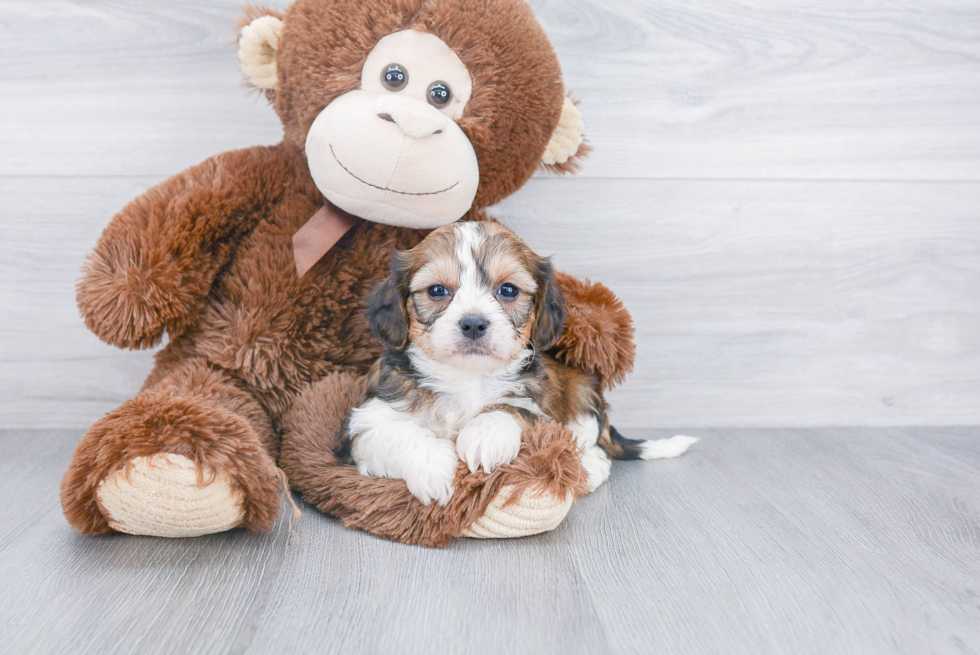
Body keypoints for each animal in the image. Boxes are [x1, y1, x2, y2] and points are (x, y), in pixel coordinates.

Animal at [340, 222, 692, 508]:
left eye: (508, 290)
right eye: (437, 290)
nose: (473, 323)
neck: (466, 377)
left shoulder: (540, 407)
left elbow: (512, 409)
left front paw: (483, 435)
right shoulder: (366, 419)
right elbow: (394, 432)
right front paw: (434, 469)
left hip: (582, 392)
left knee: (599, 449)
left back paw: (586, 470)